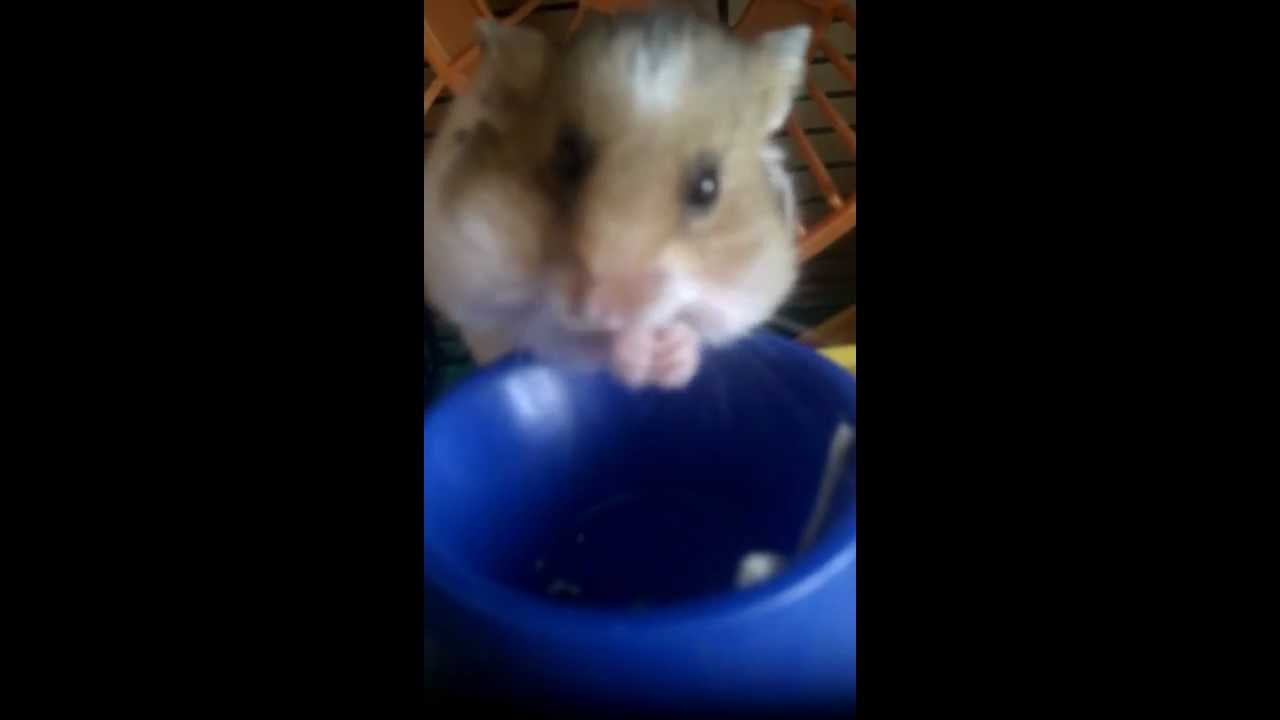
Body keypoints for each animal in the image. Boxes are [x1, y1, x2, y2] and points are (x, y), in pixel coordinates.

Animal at [424, 6, 811, 390]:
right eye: (566, 162)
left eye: (707, 187)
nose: (606, 311)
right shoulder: (494, 288)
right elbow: (566, 333)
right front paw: (638, 353)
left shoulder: (745, 293)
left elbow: (702, 325)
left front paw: (669, 358)